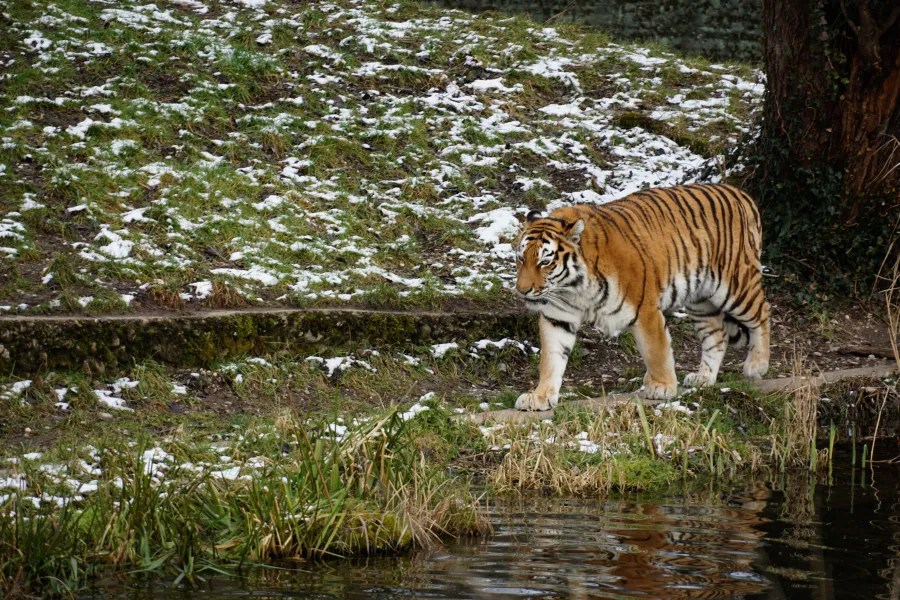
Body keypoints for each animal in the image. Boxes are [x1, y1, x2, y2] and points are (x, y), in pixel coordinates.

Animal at [514, 183, 770, 411]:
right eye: (521, 259)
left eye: (545, 262)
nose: (522, 290)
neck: (574, 287)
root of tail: (739, 193)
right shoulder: (557, 318)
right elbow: (551, 359)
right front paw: (540, 397)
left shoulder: (645, 310)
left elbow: (656, 351)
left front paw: (662, 386)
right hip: (700, 300)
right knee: (716, 336)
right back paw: (703, 378)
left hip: (734, 285)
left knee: (762, 312)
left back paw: (757, 365)